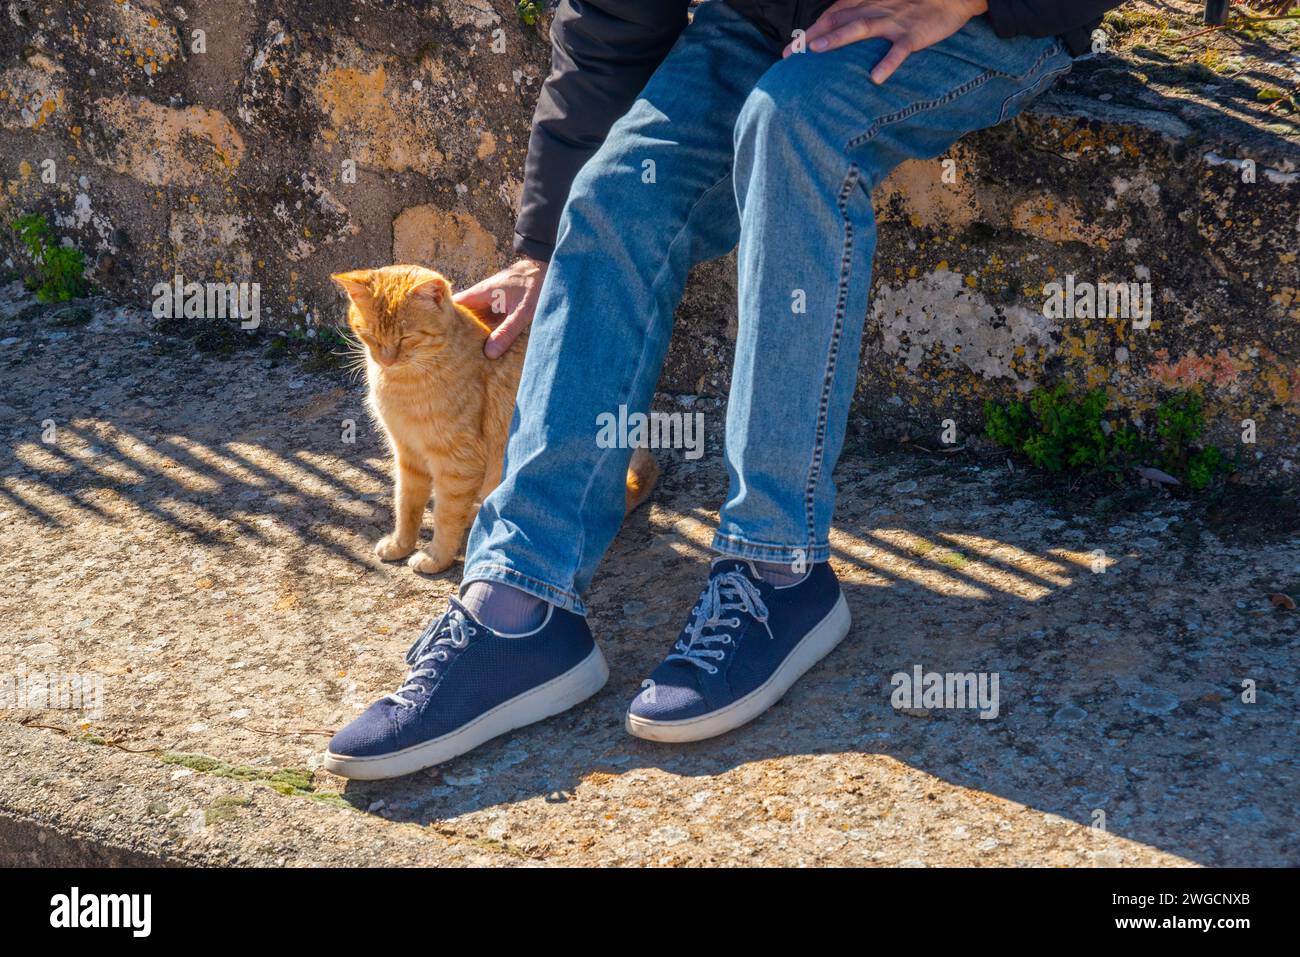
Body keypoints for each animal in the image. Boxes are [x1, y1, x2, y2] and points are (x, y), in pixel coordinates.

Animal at [335, 263, 660, 574]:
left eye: (407, 338)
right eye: (369, 335)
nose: (386, 359)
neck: (403, 383)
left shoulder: (457, 463)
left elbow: (445, 516)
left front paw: (436, 557)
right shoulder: (408, 455)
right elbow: (406, 504)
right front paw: (401, 544)